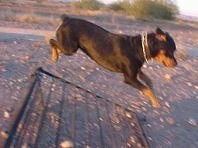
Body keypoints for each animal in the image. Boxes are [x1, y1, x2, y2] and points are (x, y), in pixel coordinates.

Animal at [48, 14, 177, 107]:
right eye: (171, 51)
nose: (176, 64)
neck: (138, 48)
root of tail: (66, 19)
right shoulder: (129, 78)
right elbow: (147, 90)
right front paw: (156, 102)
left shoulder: (136, 71)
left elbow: (148, 81)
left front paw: (151, 89)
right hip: (70, 48)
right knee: (51, 41)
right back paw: (54, 56)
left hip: (71, 47)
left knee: (57, 45)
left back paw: (56, 55)